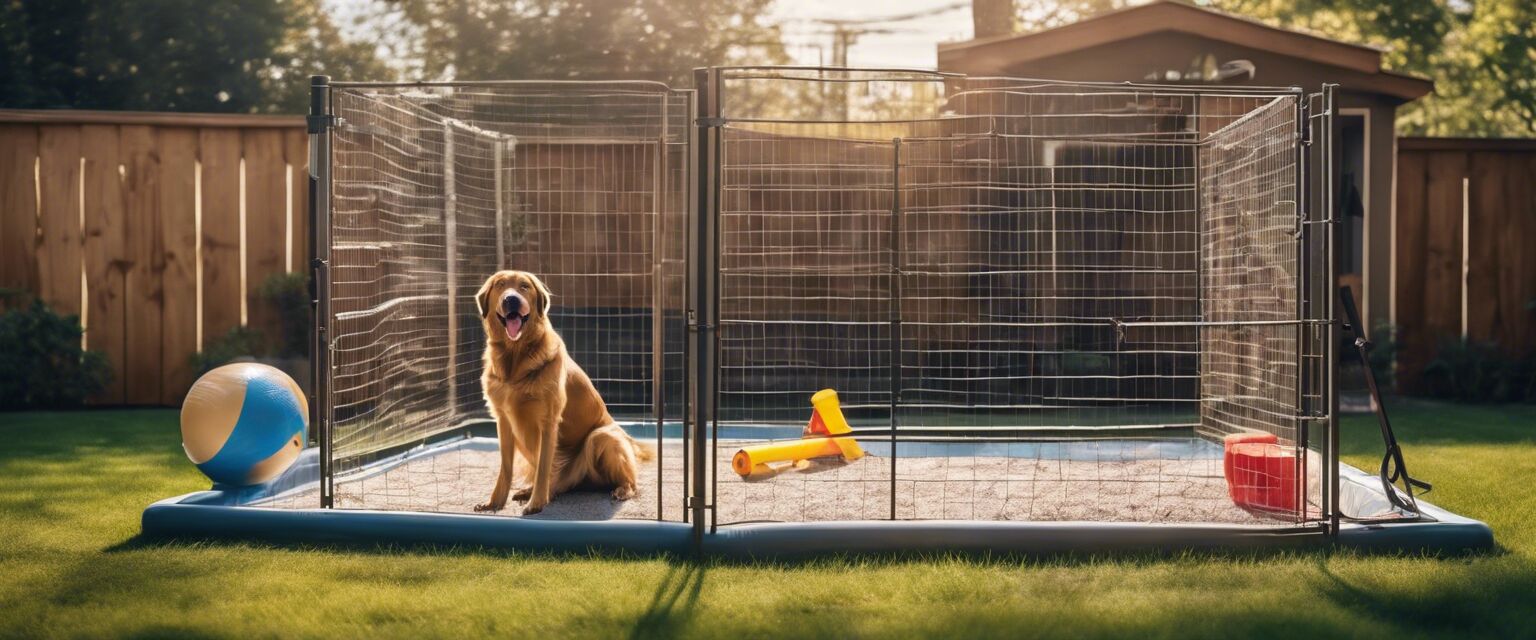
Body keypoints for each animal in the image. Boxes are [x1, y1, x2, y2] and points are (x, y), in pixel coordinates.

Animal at [473, 270, 654, 512]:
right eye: (501, 285)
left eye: (524, 286)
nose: (511, 299)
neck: (515, 359)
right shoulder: (503, 420)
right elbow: (505, 468)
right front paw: (495, 502)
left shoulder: (548, 421)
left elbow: (543, 468)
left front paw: (537, 503)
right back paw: (530, 491)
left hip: (602, 437)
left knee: (628, 479)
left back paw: (622, 490)